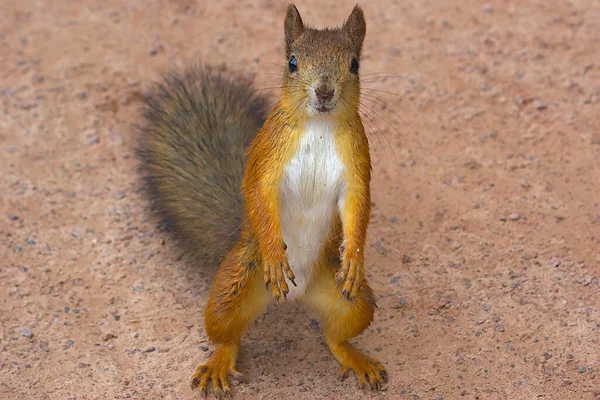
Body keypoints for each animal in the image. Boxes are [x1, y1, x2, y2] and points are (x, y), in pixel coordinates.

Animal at [137, 3, 384, 396]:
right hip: (233, 286)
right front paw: (275, 256)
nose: (324, 91)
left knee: (335, 336)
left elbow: (358, 207)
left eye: (355, 64)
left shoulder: (357, 166)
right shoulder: (268, 157)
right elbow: (260, 194)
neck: (319, 127)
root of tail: (295, 296)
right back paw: (220, 362)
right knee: (226, 335)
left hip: (352, 302)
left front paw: (354, 259)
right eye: (292, 62)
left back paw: (355, 357)